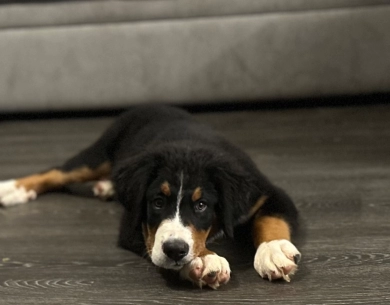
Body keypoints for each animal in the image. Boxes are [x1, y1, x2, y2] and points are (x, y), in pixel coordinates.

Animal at [0, 104, 302, 288]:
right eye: (157, 202)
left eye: (201, 205)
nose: (176, 250)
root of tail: (149, 104)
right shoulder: (134, 226)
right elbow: (156, 243)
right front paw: (203, 259)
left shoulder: (266, 190)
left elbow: (272, 220)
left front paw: (273, 250)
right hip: (99, 153)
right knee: (57, 171)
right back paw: (12, 189)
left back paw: (107, 187)